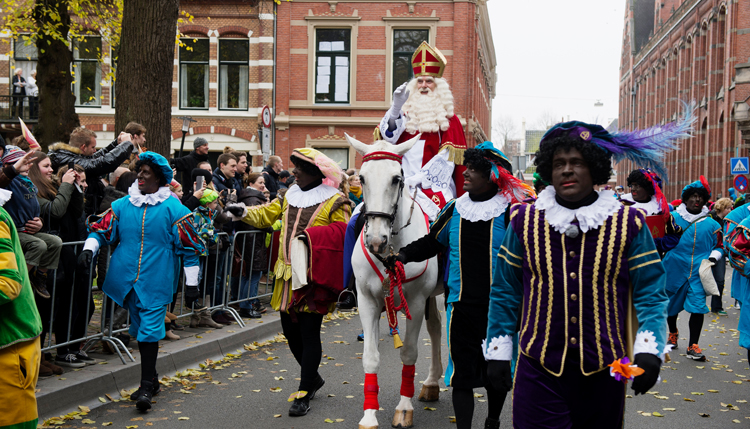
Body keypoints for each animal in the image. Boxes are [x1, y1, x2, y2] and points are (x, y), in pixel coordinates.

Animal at [348, 134, 446, 428]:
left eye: (396, 178)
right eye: (362, 178)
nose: (375, 240)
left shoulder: (415, 303)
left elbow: (409, 353)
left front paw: (404, 408)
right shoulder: (367, 302)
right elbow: (370, 358)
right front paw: (369, 415)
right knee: (436, 327)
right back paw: (431, 383)